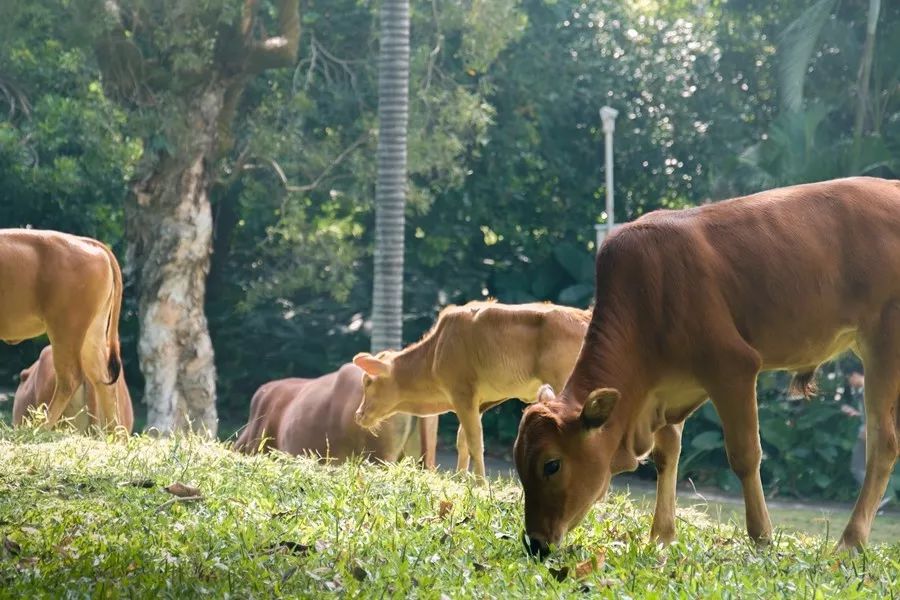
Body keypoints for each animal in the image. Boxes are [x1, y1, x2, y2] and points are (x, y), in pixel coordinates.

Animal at [0, 230, 125, 432]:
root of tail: (87, 243)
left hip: (65, 331)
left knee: (70, 378)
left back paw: (39, 428)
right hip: (91, 336)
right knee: (103, 381)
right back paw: (116, 435)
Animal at [352, 302, 592, 480]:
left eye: (367, 381)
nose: (358, 414)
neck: (435, 353)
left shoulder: (462, 394)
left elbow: (476, 440)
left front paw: (480, 484)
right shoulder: (481, 401)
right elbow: (463, 440)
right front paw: (461, 478)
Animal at [512, 175, 900, 556]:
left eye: (551, 464)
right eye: (518, 462)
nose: (536, 543)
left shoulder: (733, 367)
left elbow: (744, 455)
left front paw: (761, 537)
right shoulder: (666, 388)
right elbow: (667, 455)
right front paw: (661, 535)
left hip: (884, 342)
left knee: (883, 444)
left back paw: (850, 541)